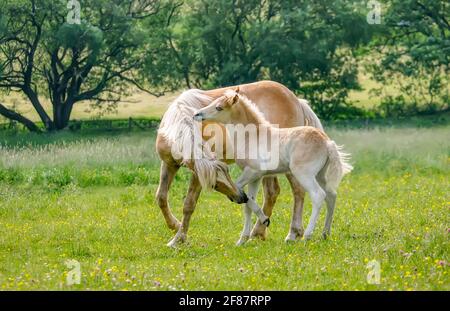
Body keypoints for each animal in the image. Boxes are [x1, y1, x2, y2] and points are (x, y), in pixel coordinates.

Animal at [156, 81, 324, 247]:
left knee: (298, 191)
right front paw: (175, 226)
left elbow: (189, 205)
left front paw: (178, 239)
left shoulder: (198, 175)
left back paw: (292, 233)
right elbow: (161, 197)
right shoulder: (168, 165)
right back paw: (258, 233)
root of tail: (296, 100)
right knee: (272, 192)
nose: (240, 197)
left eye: (214, 185)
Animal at [195, 89, 354, 245]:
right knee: (331, 196)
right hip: (320, 175)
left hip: (304, 174)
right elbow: (248, 202)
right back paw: (325, 234)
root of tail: (327, 142)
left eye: (219, 107)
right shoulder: (255, 178)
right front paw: (242, 240)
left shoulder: (252, 172)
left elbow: (238, 189)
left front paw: (264, 221)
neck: (251, 137)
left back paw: (306, 236)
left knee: (318, 195)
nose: (197, 114)